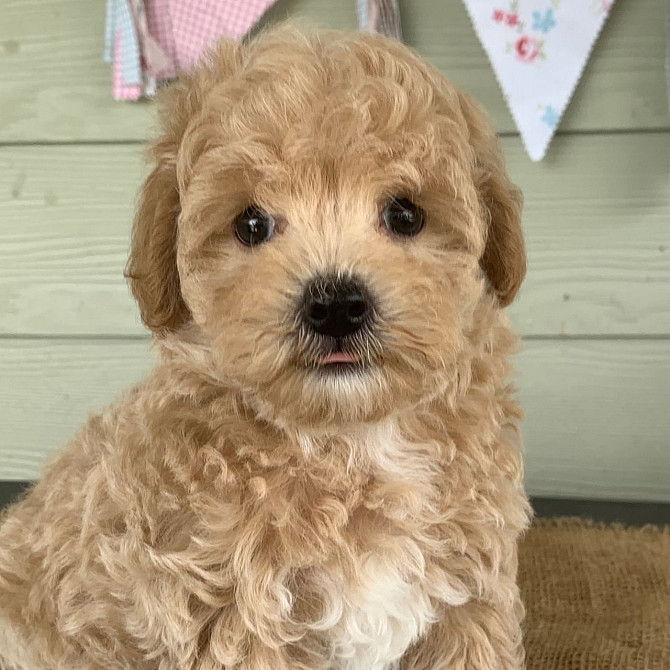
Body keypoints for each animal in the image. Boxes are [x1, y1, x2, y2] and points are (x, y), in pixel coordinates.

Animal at [0, 26, 532, 670]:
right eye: (251, 225)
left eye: (405, 214)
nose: (335, 304)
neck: (349, 442)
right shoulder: (236, 616)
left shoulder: (469, 592)